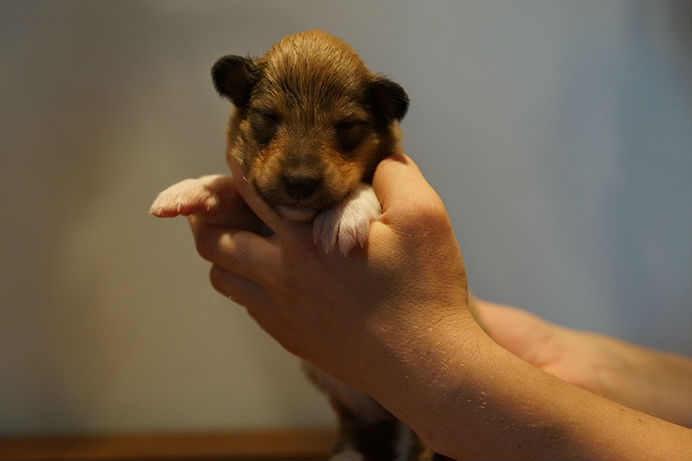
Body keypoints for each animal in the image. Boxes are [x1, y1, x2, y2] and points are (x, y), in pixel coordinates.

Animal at [151, 30, 448, 460]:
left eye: (347, 126)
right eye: (266, 118)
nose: (299, 183)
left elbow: (365, 186)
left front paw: (346, 214)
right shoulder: (259, 212)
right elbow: (231, 189)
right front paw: (190, 189)